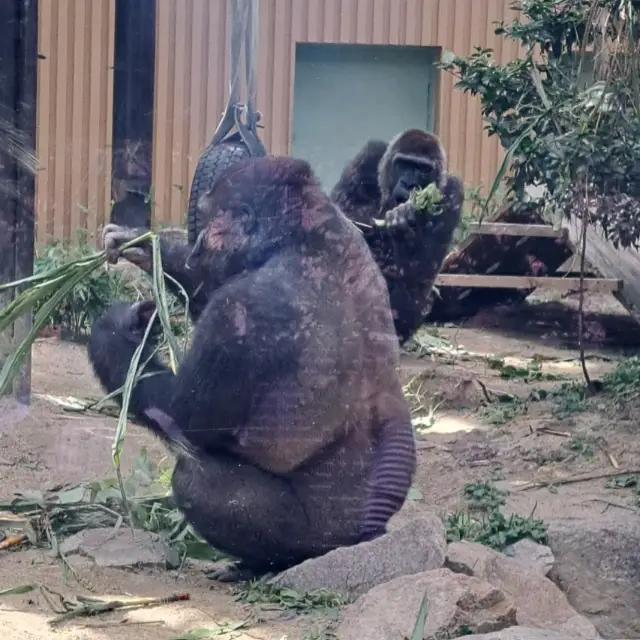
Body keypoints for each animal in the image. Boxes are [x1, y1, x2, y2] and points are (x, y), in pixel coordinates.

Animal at [91, 155, 420, 580]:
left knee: (196, 480)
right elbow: (205, 284)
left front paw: (114, 329)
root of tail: (370, 536)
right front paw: (142, 243)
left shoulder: (238, 313)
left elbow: (182, 416)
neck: (301, 238)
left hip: (325, 541)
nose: (198, 244)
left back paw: (264, 564)